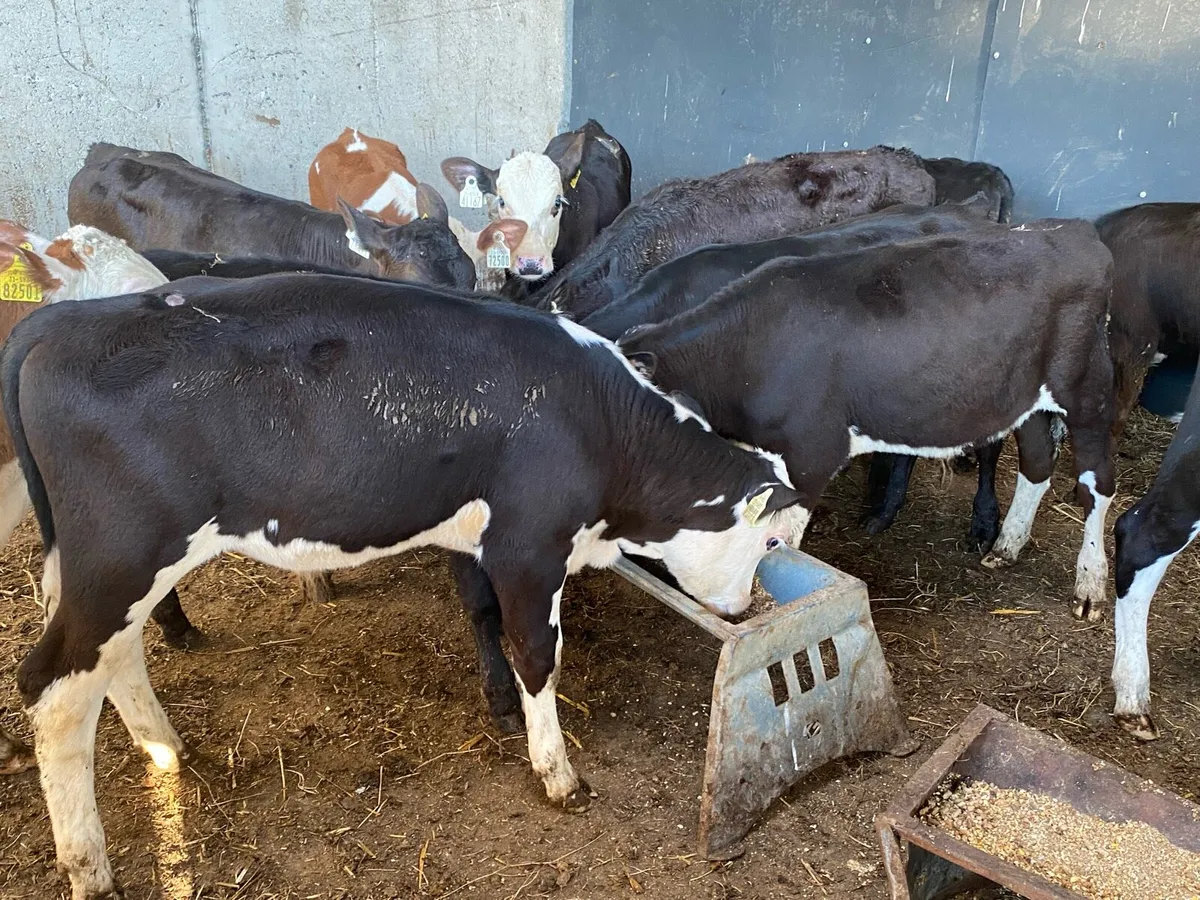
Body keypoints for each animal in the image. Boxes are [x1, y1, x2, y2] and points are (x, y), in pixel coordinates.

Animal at [3, 274, 799, 899]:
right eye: (770, 542)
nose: (743, 609)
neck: (600, 423)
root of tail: (60, 321)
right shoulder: (528, 544)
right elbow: (537, 655)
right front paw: (557, 772)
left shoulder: (478, 540)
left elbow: (486, 622)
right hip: (123, 556)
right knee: (53, 690)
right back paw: (91, 868)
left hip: (103, 569)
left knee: (111, 660)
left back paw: (166, 750)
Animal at [617, 221, 1116, 622]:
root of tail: (1076, 232)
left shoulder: (812, 452)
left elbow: (783, 536)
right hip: (1029, 399)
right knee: (1037, 464)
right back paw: (1007, 546)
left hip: (1087, 391)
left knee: (1098, 485)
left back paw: (1090, 585)